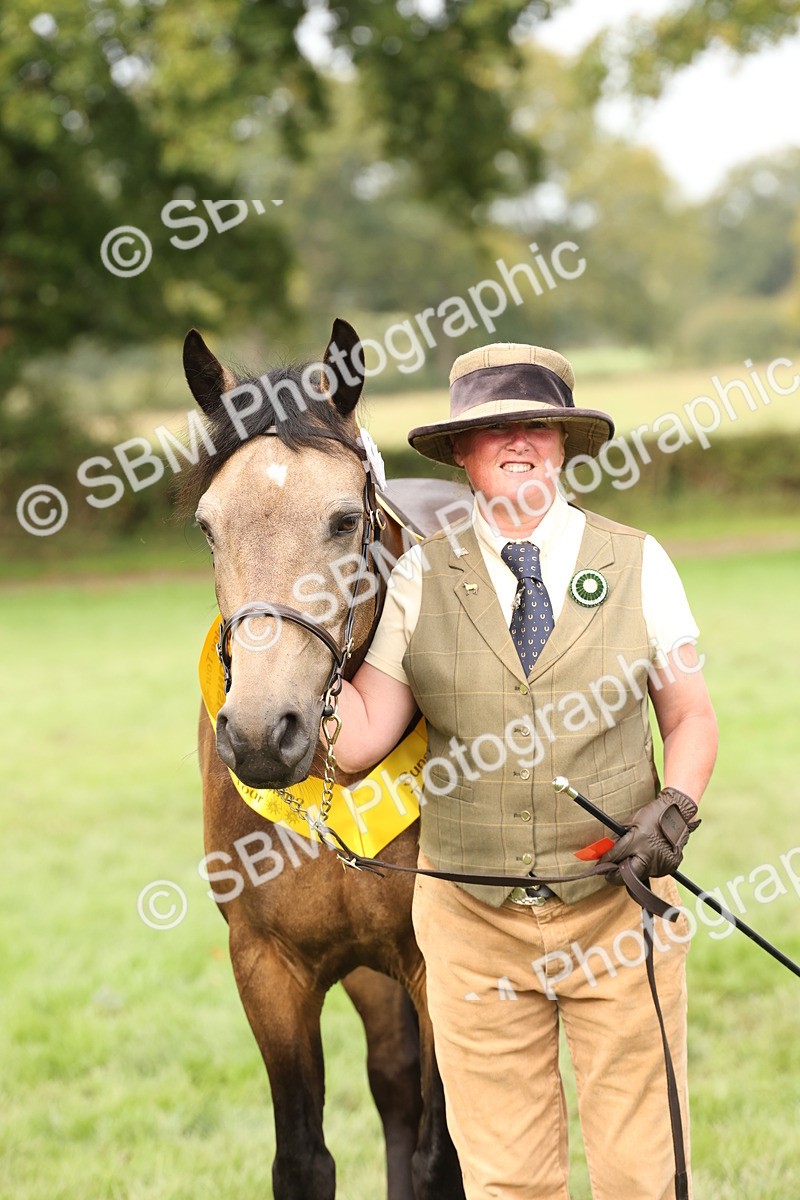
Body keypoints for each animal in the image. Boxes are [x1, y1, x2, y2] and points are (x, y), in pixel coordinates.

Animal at [178, 318, 468, 1200]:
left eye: (343, 520)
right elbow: (303, 1159)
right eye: (207, 525)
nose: (260, 732)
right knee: (394, 1081)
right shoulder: (268, 967)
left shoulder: (440, 962)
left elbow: (445, 1159)